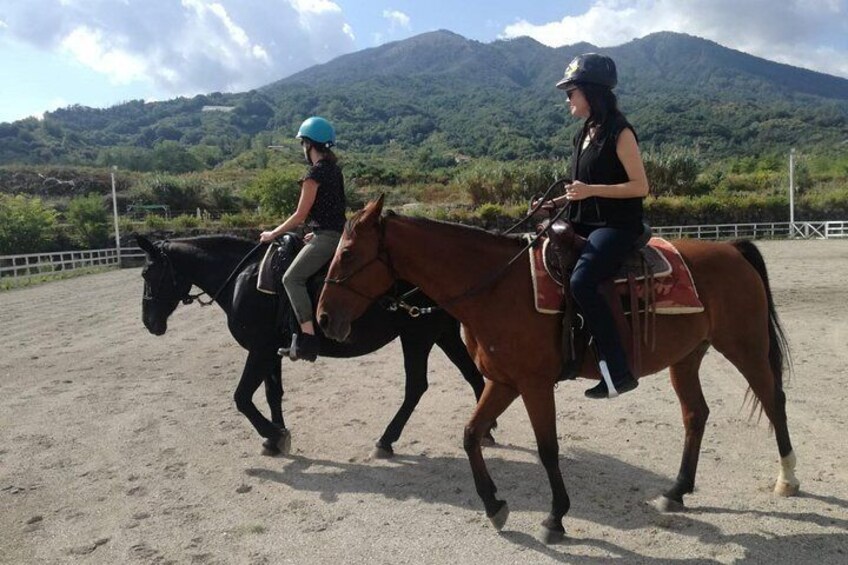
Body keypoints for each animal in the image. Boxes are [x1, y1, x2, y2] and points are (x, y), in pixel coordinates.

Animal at [135, 236, 486, 456]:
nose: (149, 323)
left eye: (148, 273)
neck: (244, 280)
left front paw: (274, 435)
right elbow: (272, 393)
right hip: (442, 333)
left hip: (417, 336)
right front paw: (275, 439)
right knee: (472, 375)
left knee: (416, 387)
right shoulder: (270, 352)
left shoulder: (259, 350)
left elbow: (242, 397)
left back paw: (386, 440)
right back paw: (484, 430)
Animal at [314, 197, 800, 540]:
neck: (497, 286)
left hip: (745, 346)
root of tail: (731, 247)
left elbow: (548, 449)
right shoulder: (503, 381)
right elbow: (471, 434)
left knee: (774, 400)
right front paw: (494, 506)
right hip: (687, 356)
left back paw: (787, 478)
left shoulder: (534, 384)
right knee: (696, 415)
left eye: (348, 253)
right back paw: (677, 491)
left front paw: (555, 517)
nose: (322, 318)